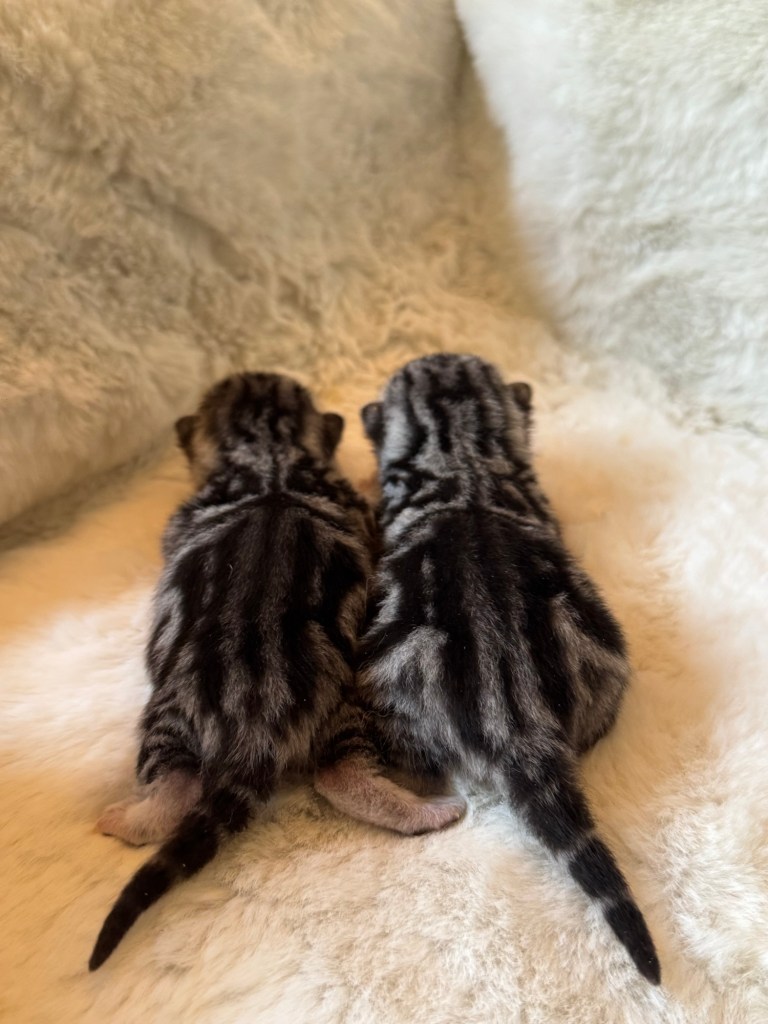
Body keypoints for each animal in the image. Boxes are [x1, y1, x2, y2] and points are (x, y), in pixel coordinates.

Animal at [89, 371, 464, 971]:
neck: (268, 457)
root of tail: (253, 726)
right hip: (331, 701)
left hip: (177, 712)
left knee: (186, 785)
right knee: (331, 774)